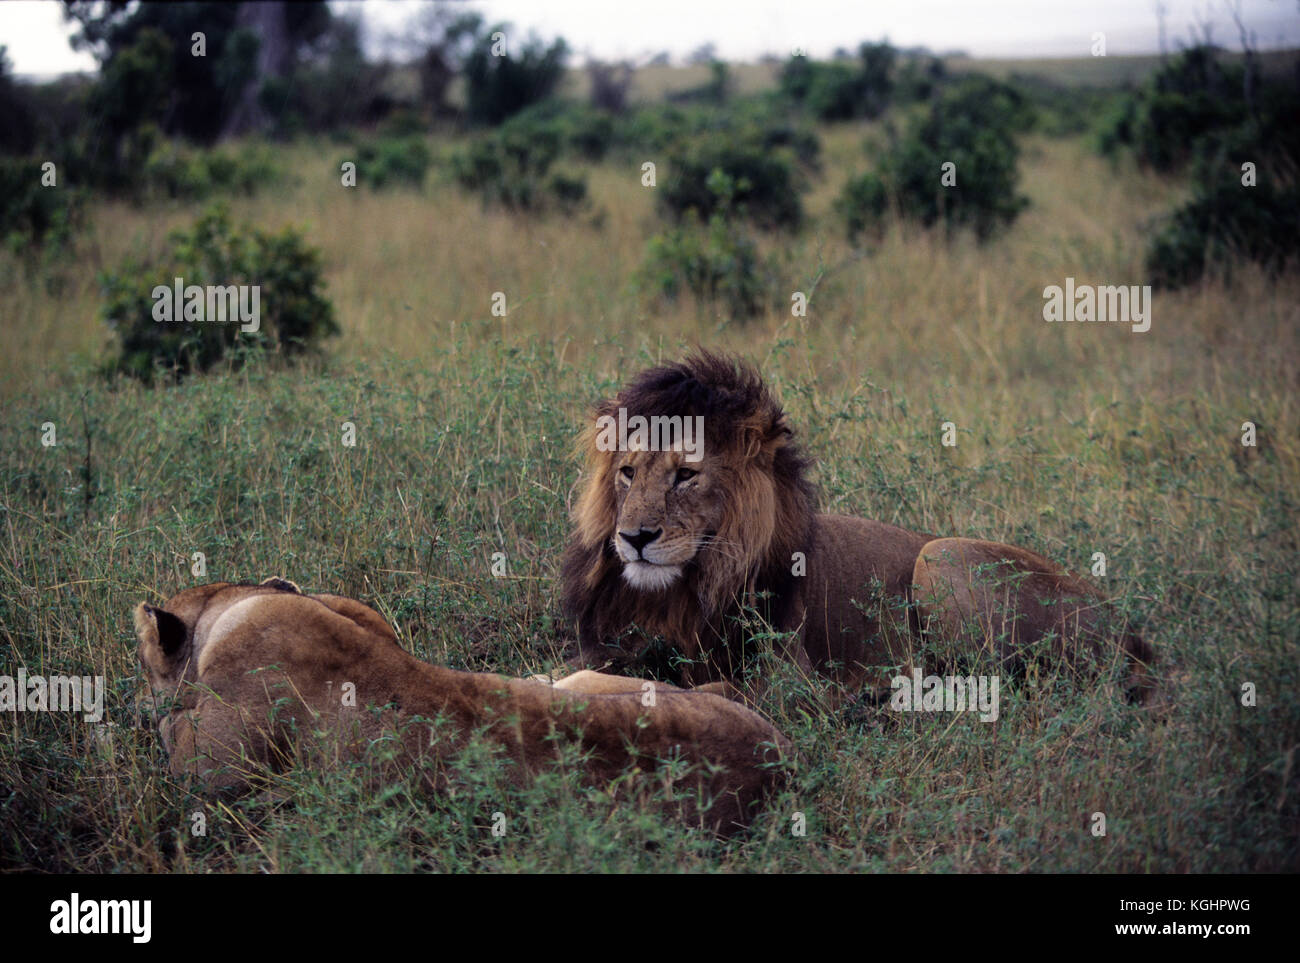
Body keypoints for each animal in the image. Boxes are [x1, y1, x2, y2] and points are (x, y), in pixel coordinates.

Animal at [560, 352, 1156, 702]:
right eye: (627, 474)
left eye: (685, 475)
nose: (634, 538)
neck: (685, 590)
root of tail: (1128, 631)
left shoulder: (792, 682)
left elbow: (715, 688)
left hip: (941, 557)